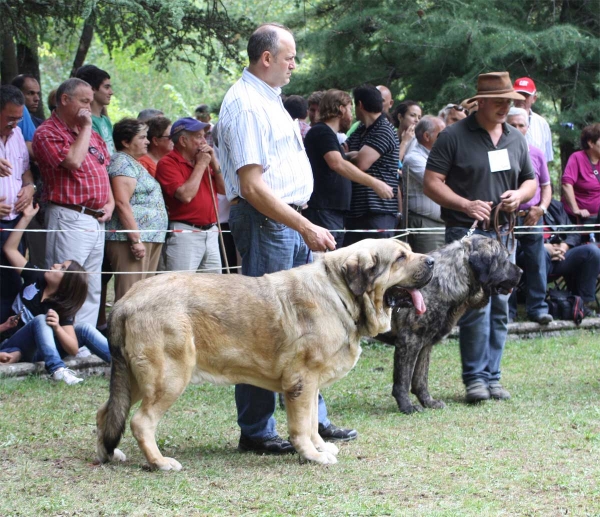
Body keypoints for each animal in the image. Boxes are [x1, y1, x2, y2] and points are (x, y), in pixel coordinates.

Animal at [94, 238, 432, 468]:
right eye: (401, 257)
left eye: (409, 250)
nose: (430, 261)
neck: (340, 293)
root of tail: (125, 301)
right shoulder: (301, 381)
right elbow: (301, 426)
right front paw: (312, 455)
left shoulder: (311, 385)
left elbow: (312, 421)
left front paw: (320, 447)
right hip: (169, 376)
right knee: (141, 422)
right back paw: (160, 462)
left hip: (136, 379)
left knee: (107, 412)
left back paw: (108, 453)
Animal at [380, 236, 520, 414]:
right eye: (504, 260)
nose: (522, 272)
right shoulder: (409, 342)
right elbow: (403, 380)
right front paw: (407, 406)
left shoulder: (425, 344)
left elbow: (420, 378)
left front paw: (428, 402)